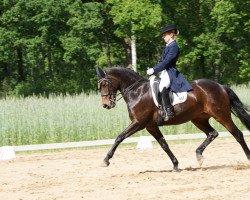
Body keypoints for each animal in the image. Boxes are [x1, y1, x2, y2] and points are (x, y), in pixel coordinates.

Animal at [96, 66, 250, 171]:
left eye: (104, 84)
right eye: (100, 85)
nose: (106, 105)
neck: (137, 91)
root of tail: (221, 86)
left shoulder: (138, 123)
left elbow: (119, 137)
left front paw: (106, 160)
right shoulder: (151, 126)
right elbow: (164, 145)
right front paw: (175, 165)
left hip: (221, 115)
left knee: (237, 134)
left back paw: (248, 158)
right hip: (198, 119)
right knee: (212, 133)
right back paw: (199, 155)